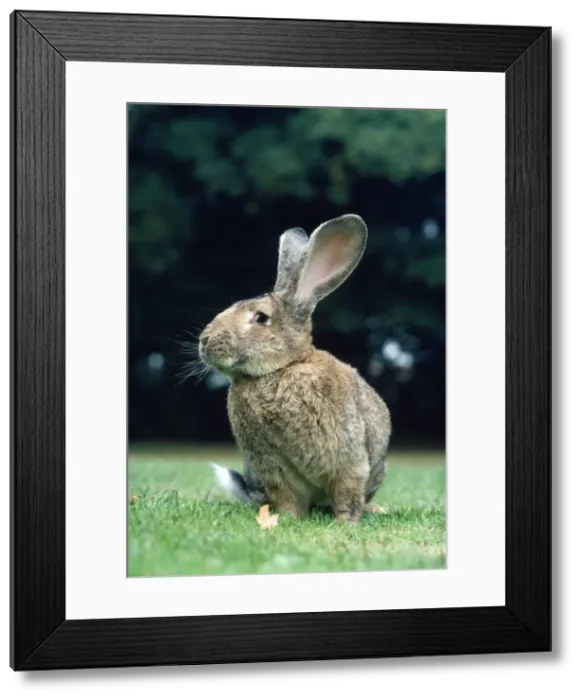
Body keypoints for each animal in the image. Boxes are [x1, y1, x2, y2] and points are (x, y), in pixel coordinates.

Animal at [199, 214, 391, 524]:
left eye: (261, 318)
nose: (204, 341)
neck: (282, 369)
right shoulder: (273, 467)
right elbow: (287, 497)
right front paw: (287, 520)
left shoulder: (347, 459)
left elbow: (347, 493)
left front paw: (346, 523)